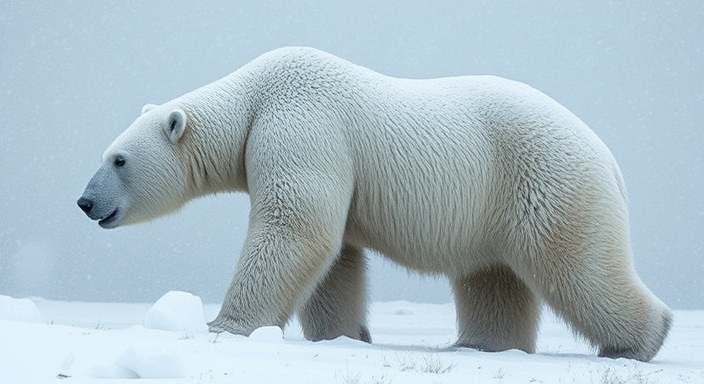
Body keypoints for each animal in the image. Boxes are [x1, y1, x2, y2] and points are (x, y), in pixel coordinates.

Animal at [77, 46, 672, 362]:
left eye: (119, 160)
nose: (84, 202)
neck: (254, 96)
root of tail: (609, 160)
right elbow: (335, 257)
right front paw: (346, 336)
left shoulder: (300, 126)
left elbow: (295, 228)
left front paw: (224, 326)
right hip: (494, 208)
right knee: (493, 277)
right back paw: (478, 346)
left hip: (546, 181)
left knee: (576, 266)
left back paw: (641, 341)